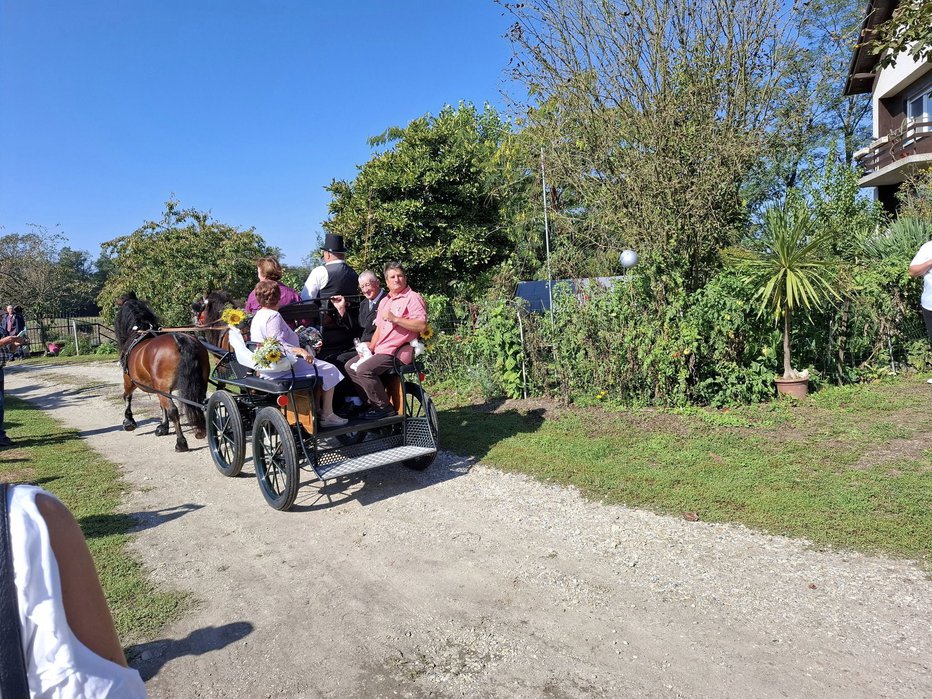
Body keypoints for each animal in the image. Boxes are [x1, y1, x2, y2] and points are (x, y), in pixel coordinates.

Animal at [114, 296, 208, 452]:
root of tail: (179, 339)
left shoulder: (129, 379)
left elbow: (127, 396)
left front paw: (129, 421)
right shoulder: (158, 388)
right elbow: (161, 405)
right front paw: (163, 427)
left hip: (161, 387)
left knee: (173, 411)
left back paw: (181, 442)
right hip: (199, 384)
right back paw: (201, 430)